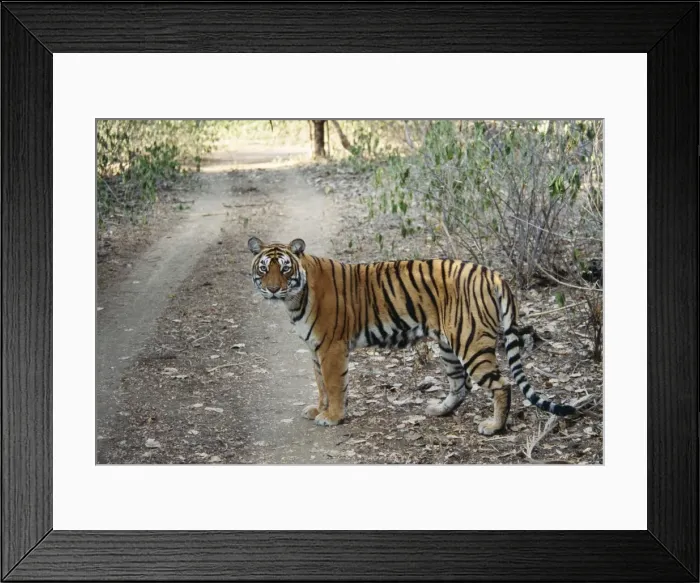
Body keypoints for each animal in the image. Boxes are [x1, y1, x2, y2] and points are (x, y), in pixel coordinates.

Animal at [247, 236, 576, 435]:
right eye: (264, 269)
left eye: (285, 269)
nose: (273, 289)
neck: (294, 298)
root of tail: (492, 273)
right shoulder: (316, 348)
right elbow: (321, 386)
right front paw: (319, 408)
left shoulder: (331, 347)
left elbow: (334, 384)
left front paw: (333, 417)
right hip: (448, 344)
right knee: (461, 384)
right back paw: (439, 410)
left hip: (471, 343)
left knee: (501, 384)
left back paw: (493, 426)